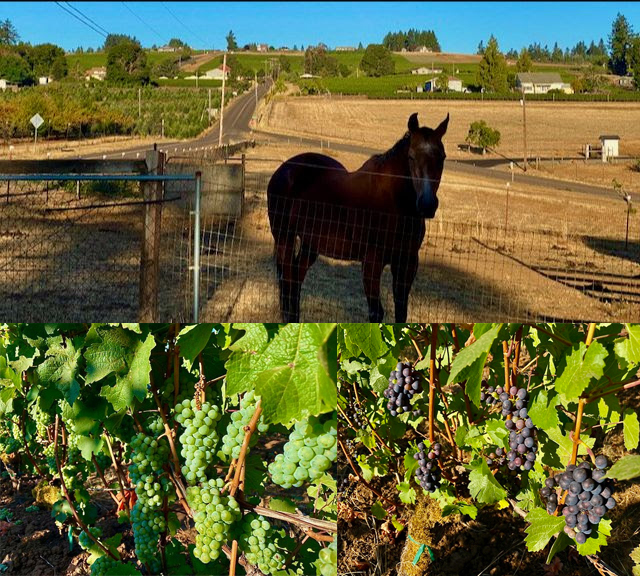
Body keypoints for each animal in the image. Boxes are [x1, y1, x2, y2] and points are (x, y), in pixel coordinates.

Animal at [268, 110, 448, 322]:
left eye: (442, 157)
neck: (394, 204)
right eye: (411, 157)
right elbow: (376, 313)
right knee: (288, 280)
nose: (427, 204)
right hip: (284, 239)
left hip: (310, 244)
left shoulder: (407, 263)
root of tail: (284, 170)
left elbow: (401, 312)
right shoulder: (372, 263)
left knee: (296, 280)